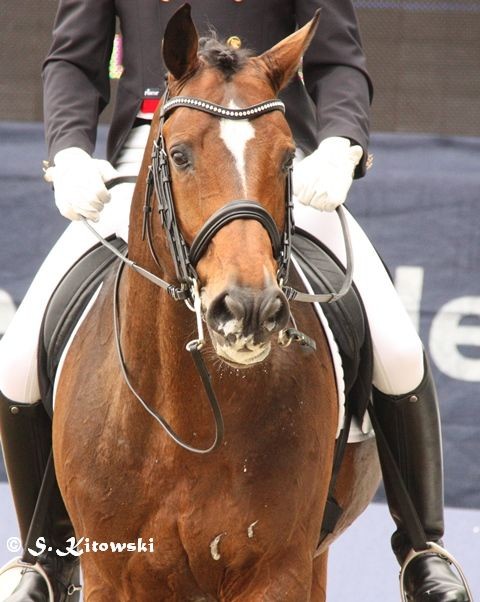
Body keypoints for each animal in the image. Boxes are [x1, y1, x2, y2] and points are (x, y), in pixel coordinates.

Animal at [53, 5, 378, 600]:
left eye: (288, 158)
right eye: (180, 155)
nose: (249, 310)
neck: (190, 421)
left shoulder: (277, 570)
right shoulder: (109, 572)